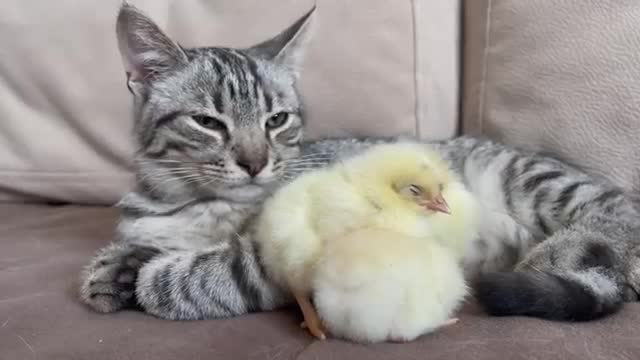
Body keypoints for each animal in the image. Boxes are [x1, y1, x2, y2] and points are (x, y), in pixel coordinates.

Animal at [80, 3, 640, 320]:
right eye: (208, 122)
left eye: (277, 119)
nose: (255, 162)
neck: (194, 203)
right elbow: (142, 242)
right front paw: (116, 268)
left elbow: (222, 270)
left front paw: (151, 280)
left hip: (534, 180)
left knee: (618, 209)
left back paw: (560, 252)